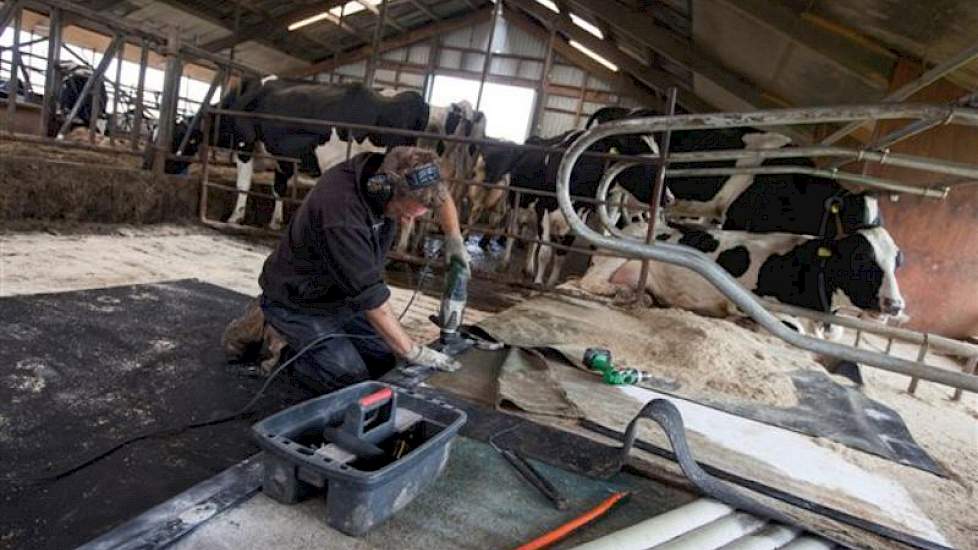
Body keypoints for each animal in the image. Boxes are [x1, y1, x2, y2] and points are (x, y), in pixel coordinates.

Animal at [576, 222, 904, 322]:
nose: (896, 305)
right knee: (587, 282)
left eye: (897, 261)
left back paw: (641, 296)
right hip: (619, 253)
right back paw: (621, 292)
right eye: (860, 259)